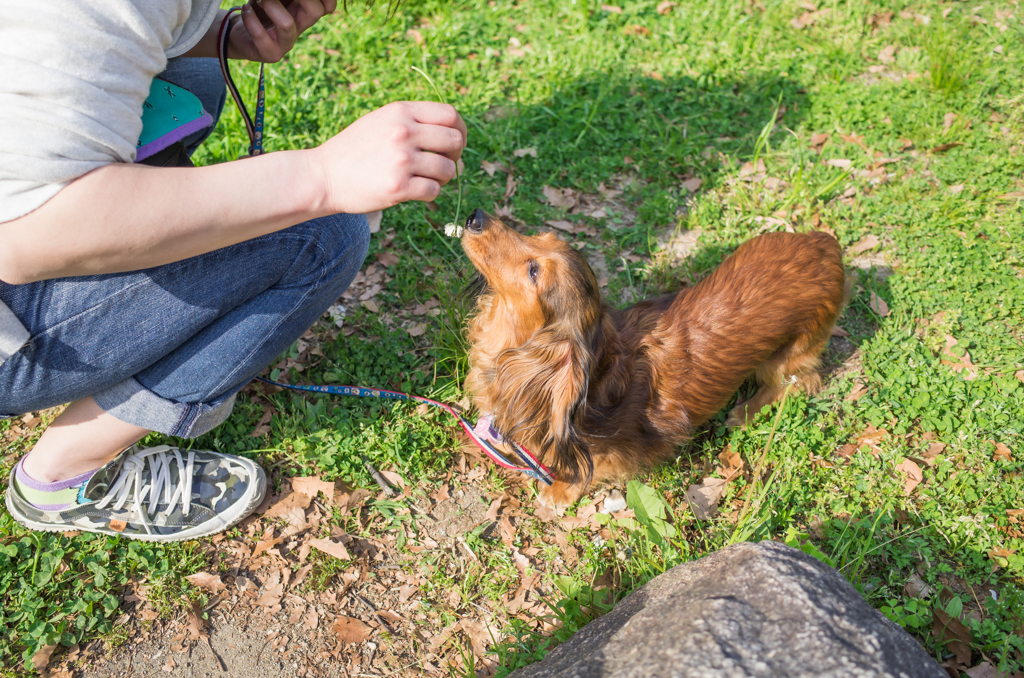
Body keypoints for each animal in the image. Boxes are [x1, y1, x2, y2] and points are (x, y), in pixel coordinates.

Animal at [462, 209, 847, 507]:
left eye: (534, 271)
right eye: (538, 235)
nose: (475, 217)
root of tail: (824, 244)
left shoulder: (610, 452)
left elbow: (586, 468)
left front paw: (559, 490)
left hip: (788, 355)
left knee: (796, 383)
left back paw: (744, 412)